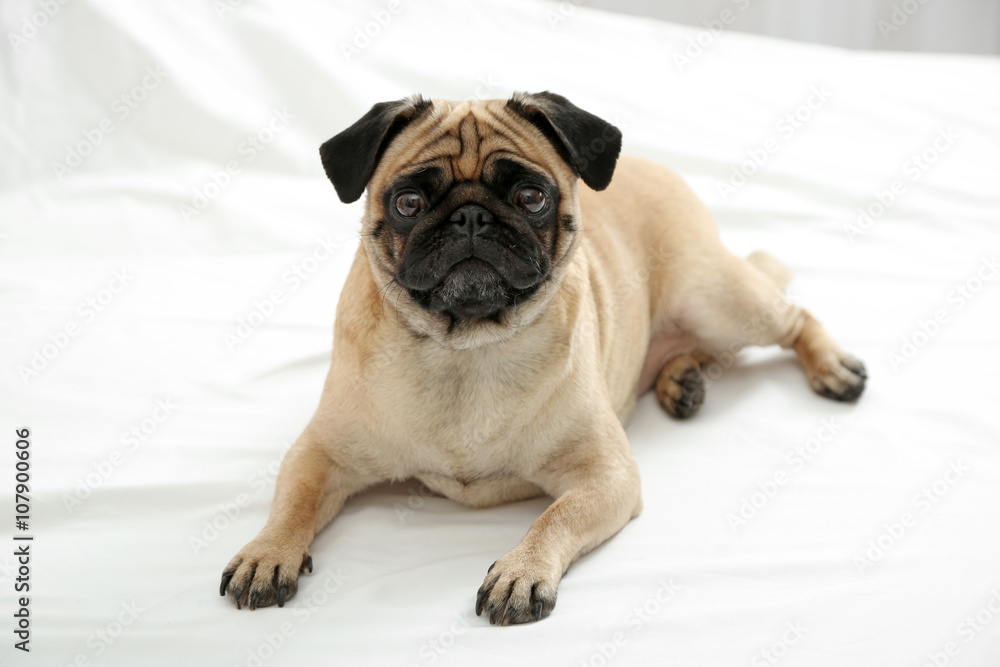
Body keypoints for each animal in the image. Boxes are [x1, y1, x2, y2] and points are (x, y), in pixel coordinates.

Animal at [221, 91, 868, 624]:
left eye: (531, 196)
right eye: (407, 202)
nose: (471, 216)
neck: (466, 351)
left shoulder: (605, 476)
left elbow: (554, 517)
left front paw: (521, 571)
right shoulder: (322, 452)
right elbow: (294, 501)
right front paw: (267, 551)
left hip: (715, 296)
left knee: (792, 318)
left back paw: (831, 368)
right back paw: (679, 380)